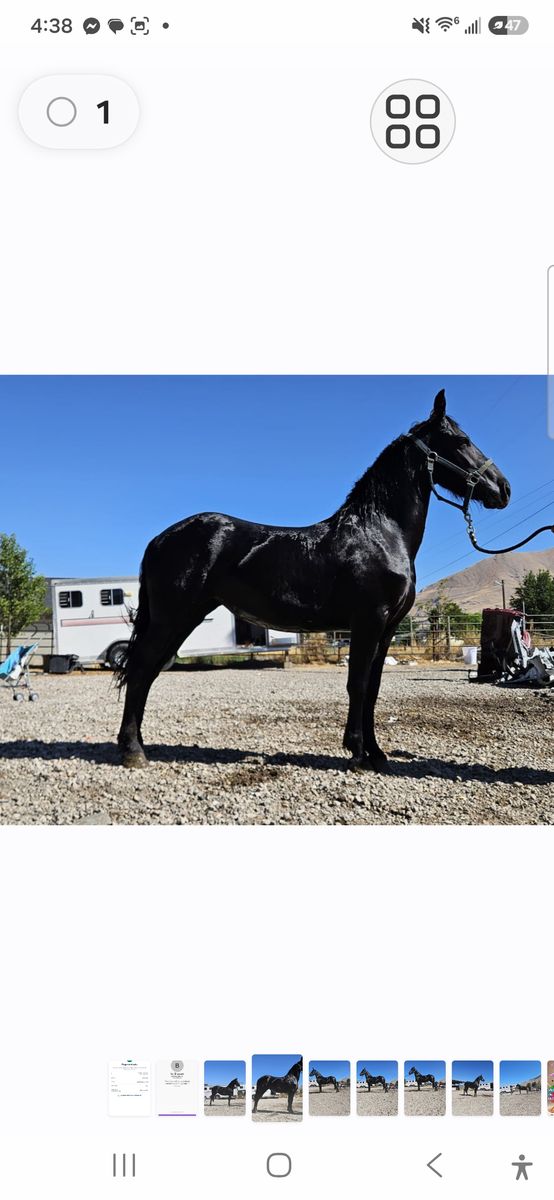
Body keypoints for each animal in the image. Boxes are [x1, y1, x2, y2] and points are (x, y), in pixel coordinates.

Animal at [116, 390, 510, 771]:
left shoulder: (385, 629)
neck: (379, 533)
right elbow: (358, 684)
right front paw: (357, 754)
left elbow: (374, 688)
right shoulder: (368, 622)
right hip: (173, 619)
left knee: (147, 672)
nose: (503, 488)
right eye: (461, 441)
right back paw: (133, 751)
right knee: (140, 669)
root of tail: (160, 540)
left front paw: (376, 752)